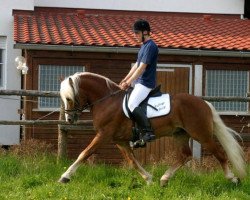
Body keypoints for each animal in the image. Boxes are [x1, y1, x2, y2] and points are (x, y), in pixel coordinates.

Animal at [58, 71, 246, 186]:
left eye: (69, 98)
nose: (69, 119)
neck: (107, 100)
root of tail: (203, 102)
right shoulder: (119, 140)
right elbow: (132, 161)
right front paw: (148, 179)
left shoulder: (104, 134)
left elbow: (85, 153)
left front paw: (65, 176)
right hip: (180, 134)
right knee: (185, 155)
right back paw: (164, 179)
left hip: (201, 134)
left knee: (220, 154)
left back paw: (233, 179)